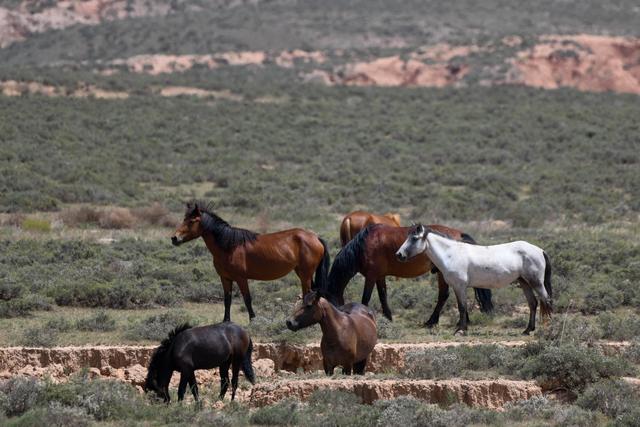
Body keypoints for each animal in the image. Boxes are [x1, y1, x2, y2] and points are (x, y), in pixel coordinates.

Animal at [170, 202, 330, 322]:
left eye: (191, 221)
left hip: (305, 274)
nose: (174, 238)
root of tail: (315, 237)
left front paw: (253, 320)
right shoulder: (225, 278)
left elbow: (247, 299)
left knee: (307, 294)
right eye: (183, 219)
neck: (229, 246)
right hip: (302, 272)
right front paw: (226, 321)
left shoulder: (241, 278)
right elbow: (227, 300)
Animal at [324, 224, 496, 324]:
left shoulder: (371, 276)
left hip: (442, 274)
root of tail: (459, 234)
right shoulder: (379, 276)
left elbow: (365, 298)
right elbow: (383, 296)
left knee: (444, 295)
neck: (365, 244)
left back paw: (432, 321)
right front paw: (388, 318)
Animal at [396, 224, 552, 338]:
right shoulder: (458, 287)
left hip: (536, 282)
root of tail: (540, 250)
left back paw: (548, 328)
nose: (399, 255)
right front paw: (462, 329)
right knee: (533, 303)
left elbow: (462, 307)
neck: (451, 254)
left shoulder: (460, 286)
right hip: (524, 282)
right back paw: (528, 330)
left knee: (546, 300)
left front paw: (460, 331)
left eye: (414, 238)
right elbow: (463, 307)